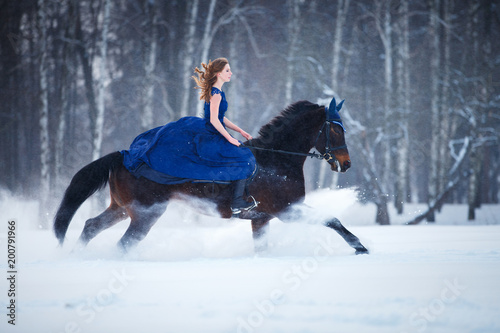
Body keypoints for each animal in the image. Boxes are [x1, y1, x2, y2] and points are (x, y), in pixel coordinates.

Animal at [54, 98, 370, 254]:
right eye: (336, 129)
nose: (346, 164)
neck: (277, 161)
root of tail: (124, 156)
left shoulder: (262, 219)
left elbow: (262, 248)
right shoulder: (287, 210)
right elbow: (333, 220)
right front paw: (361, 248)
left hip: (121, 208)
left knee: (91, 226)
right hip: (145, 214)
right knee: (124, 243)